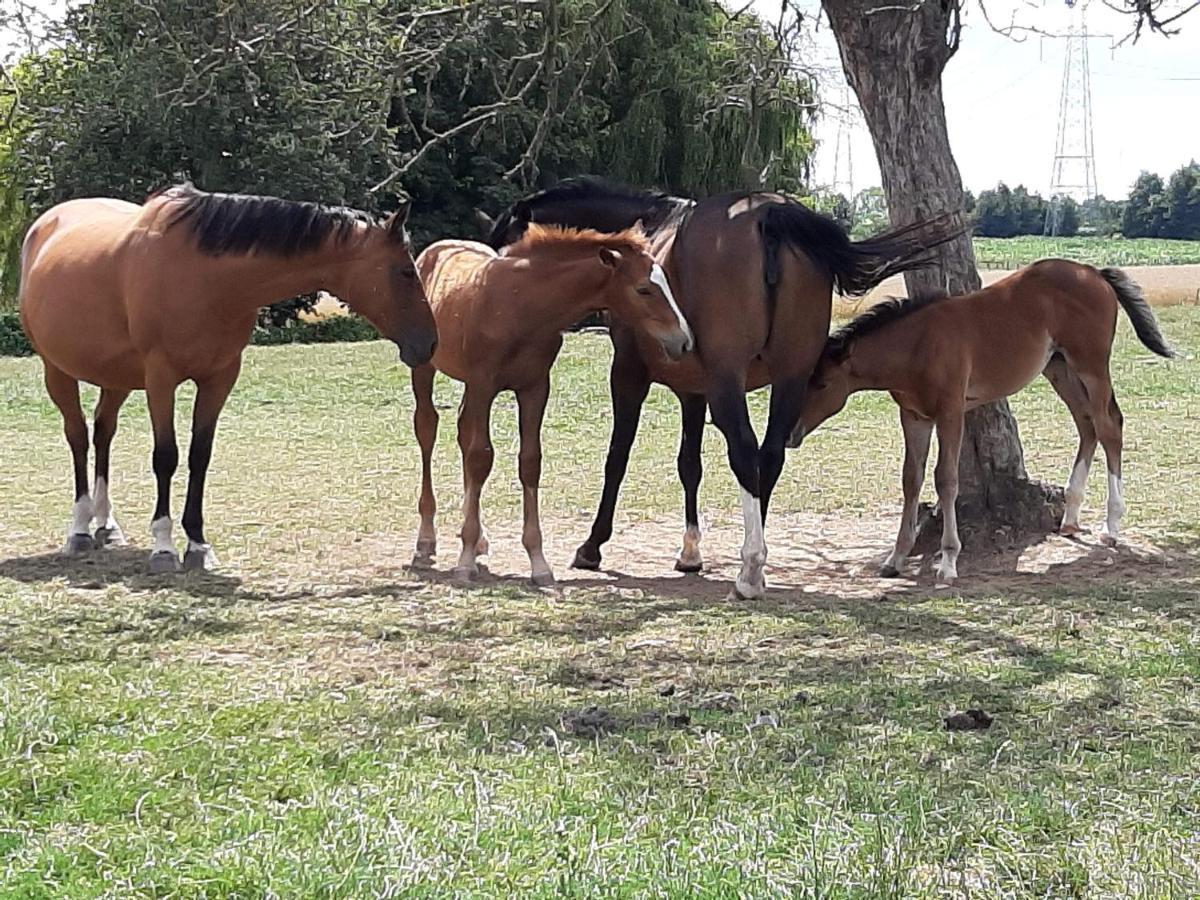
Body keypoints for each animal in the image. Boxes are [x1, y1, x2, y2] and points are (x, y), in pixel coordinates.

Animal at [18, 187, 439, 573]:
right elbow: (166, 457)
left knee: (103, 432)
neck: (205, 276)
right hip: (57, 371)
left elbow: (200, 456)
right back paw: (80, 528)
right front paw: (164, 545)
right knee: (77, 436)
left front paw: (198, 544)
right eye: (405, 271)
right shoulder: (160, 379)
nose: (430, 343)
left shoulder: (219, 378)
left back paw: (106, 524)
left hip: (116, 378)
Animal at [412, 225, 696, 588]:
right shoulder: (483, 385)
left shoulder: (535, 388)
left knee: (462, 432)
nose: (684, 341)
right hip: (425, 369)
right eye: (643, 289)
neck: (521, 305)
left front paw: (538, 563)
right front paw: (463, 562)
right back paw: (426, 541)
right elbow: (480, 458)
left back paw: (479, 541)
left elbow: (529, 462)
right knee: (427, 429)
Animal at [482, 176, 960, 600]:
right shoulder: (695, 390)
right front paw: (691, 552)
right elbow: (689, 464)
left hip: (727, 382)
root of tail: (769, 213)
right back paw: (756, 558)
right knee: (769, 457)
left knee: (746, 452)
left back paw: (749, 571)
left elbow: (617, 458)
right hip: (788, 378)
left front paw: (592, 546)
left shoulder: (630, 376)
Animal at [792, 260, 1176, 585]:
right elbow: (911, 480)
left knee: (1109, 426)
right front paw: (895, 559)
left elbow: (946, 480)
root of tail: (1092, 272)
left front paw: (948, 562)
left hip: (1091, 365)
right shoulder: (914, 417)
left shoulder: (950, 412)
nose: (791, 434)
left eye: (822, 383)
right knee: (1087, 424)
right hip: (1059, 368)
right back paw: (1069, 519)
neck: (918, 345)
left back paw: (1112, 526)